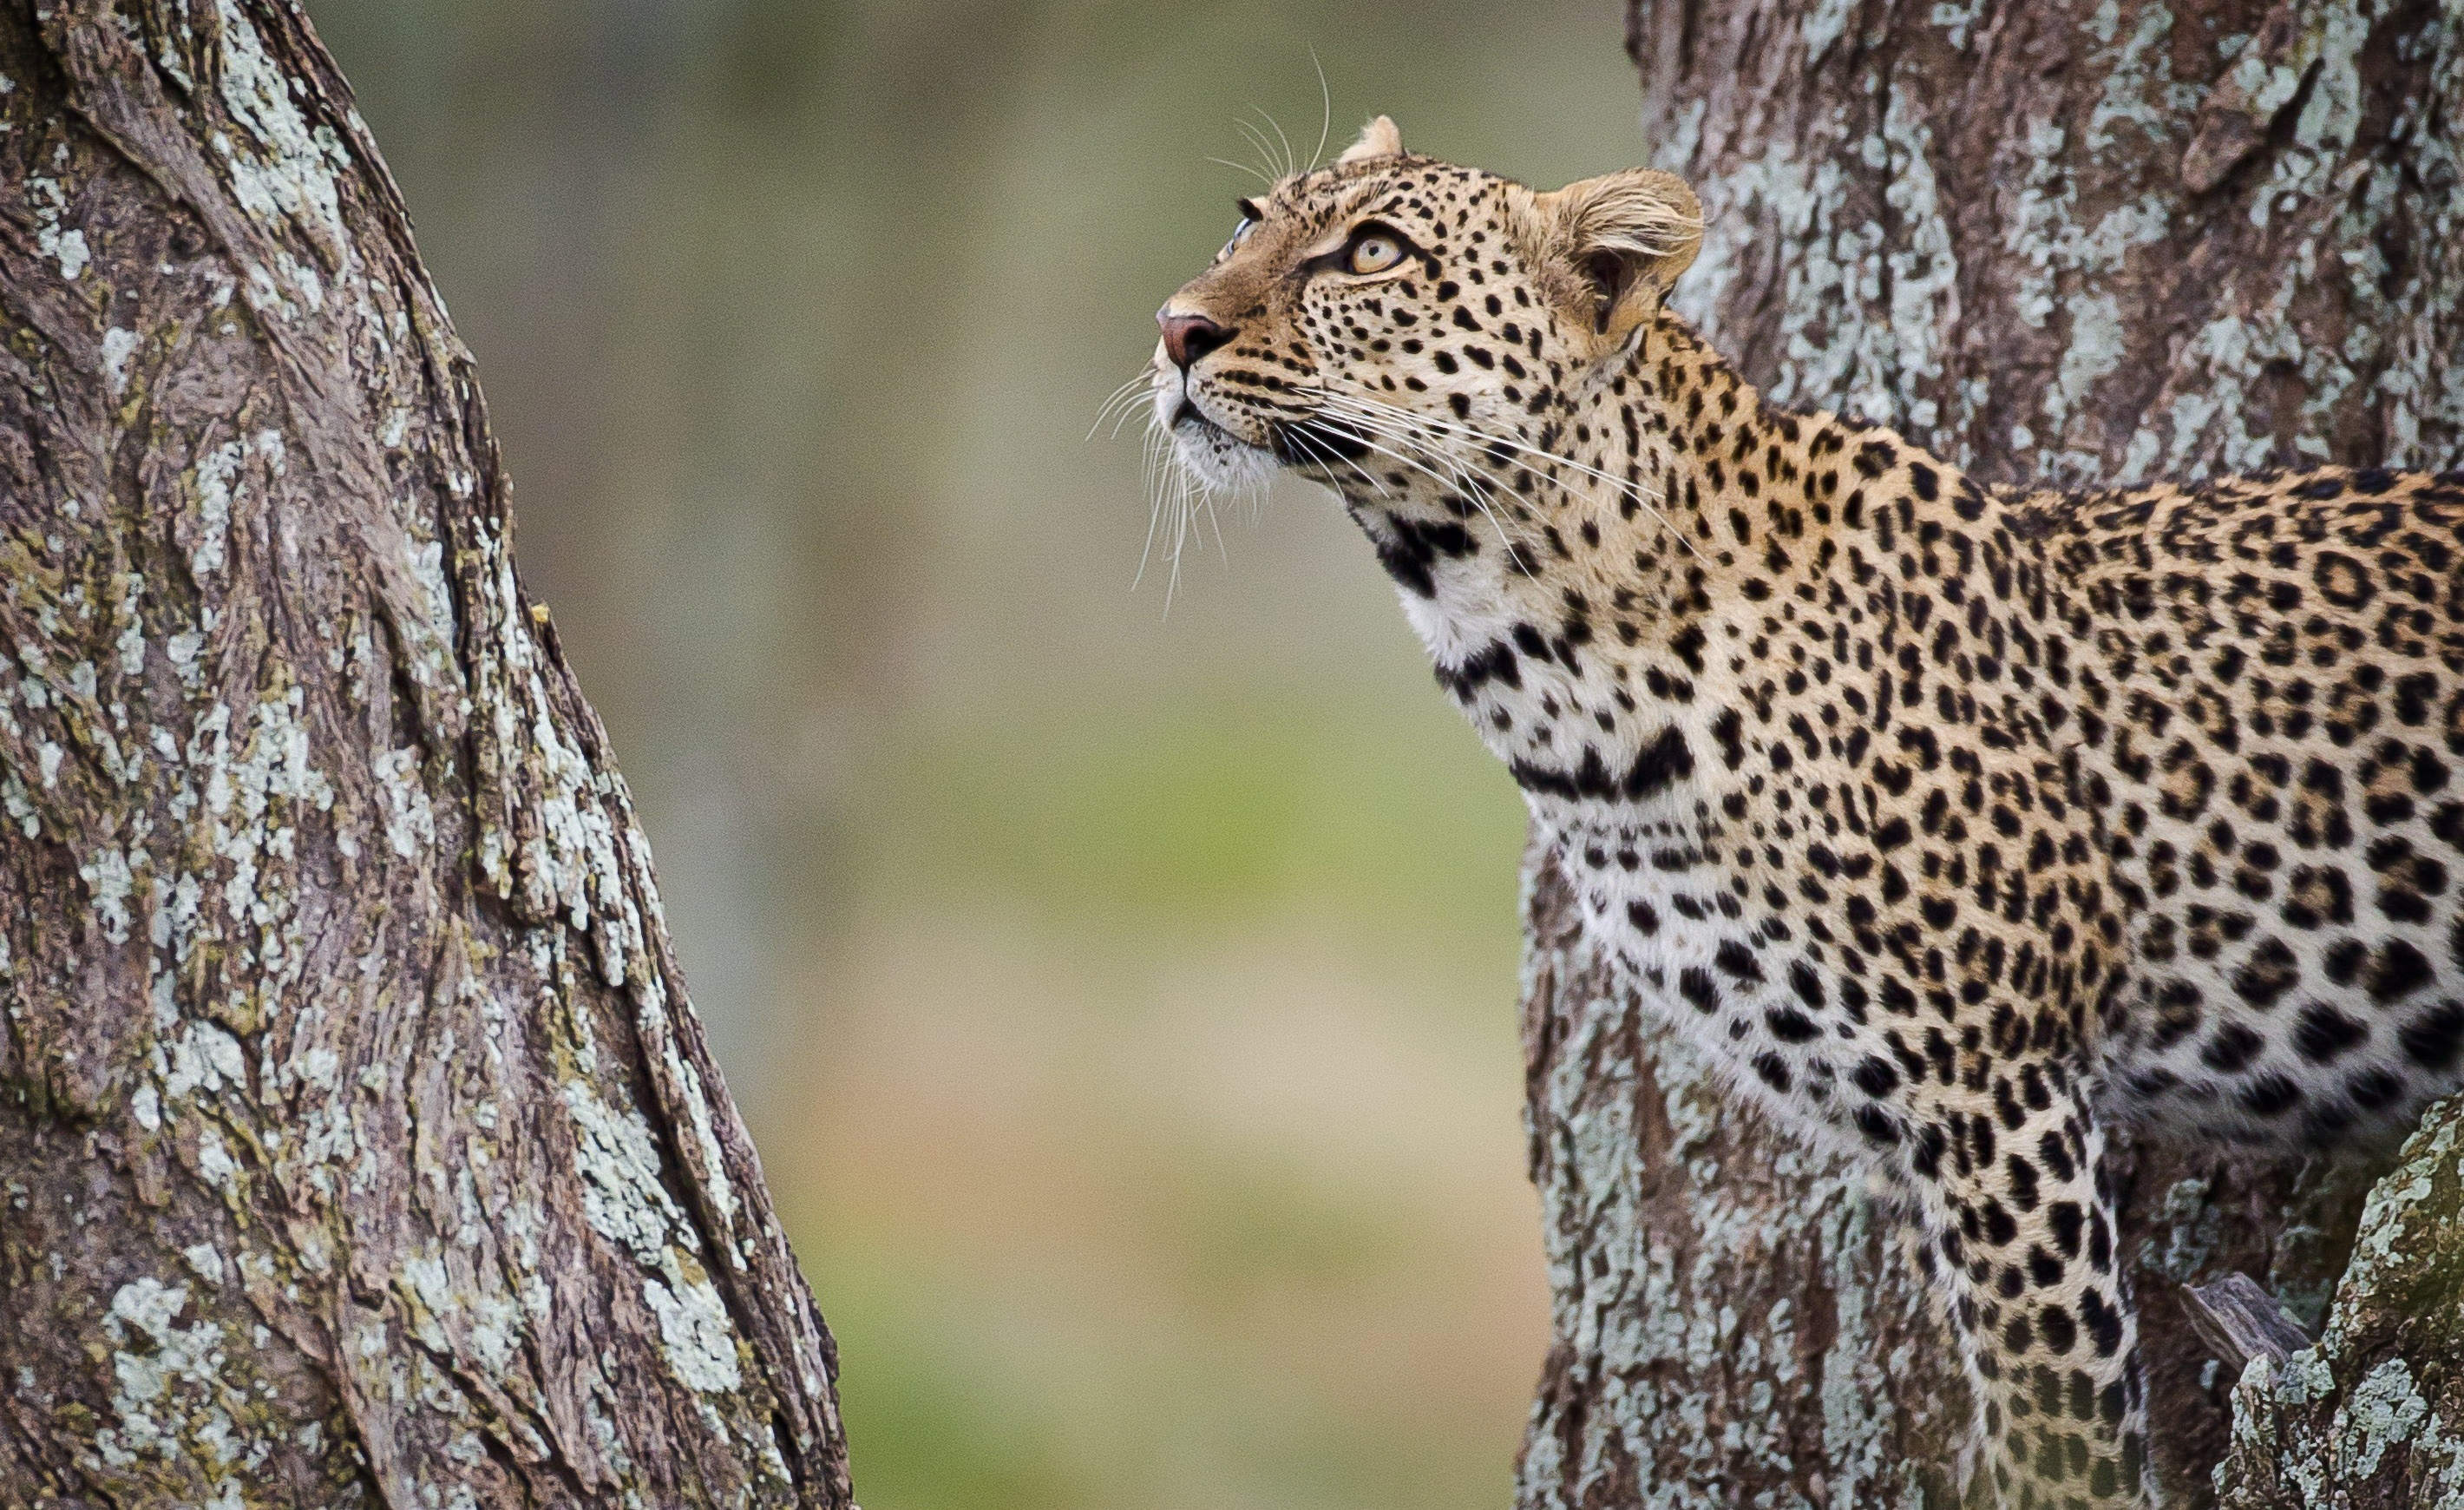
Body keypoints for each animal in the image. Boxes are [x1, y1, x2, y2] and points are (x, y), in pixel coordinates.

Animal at [1143, 112, 2464, 1497]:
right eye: (1246, 220)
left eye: (1372, 253)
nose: (1175, 328)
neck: (1541, 664)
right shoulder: (1919, 1132)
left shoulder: (1996, 1095)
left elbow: (2057, 1423)